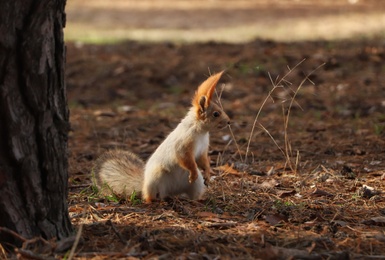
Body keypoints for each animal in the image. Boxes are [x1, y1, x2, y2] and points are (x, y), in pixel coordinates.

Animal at [93, 71, 230, 203]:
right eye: (216, 114)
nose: (229, 122)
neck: (200, 131)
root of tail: (173, 191)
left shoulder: (202, 149)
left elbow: (203, 160)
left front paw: (207, 173)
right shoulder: (183, 145)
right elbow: (185, 160)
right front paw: (193, 173)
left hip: (196, 185)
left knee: (191, 195)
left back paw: (198, 200)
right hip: (155, 179)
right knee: (150, 196)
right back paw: (154, 200)